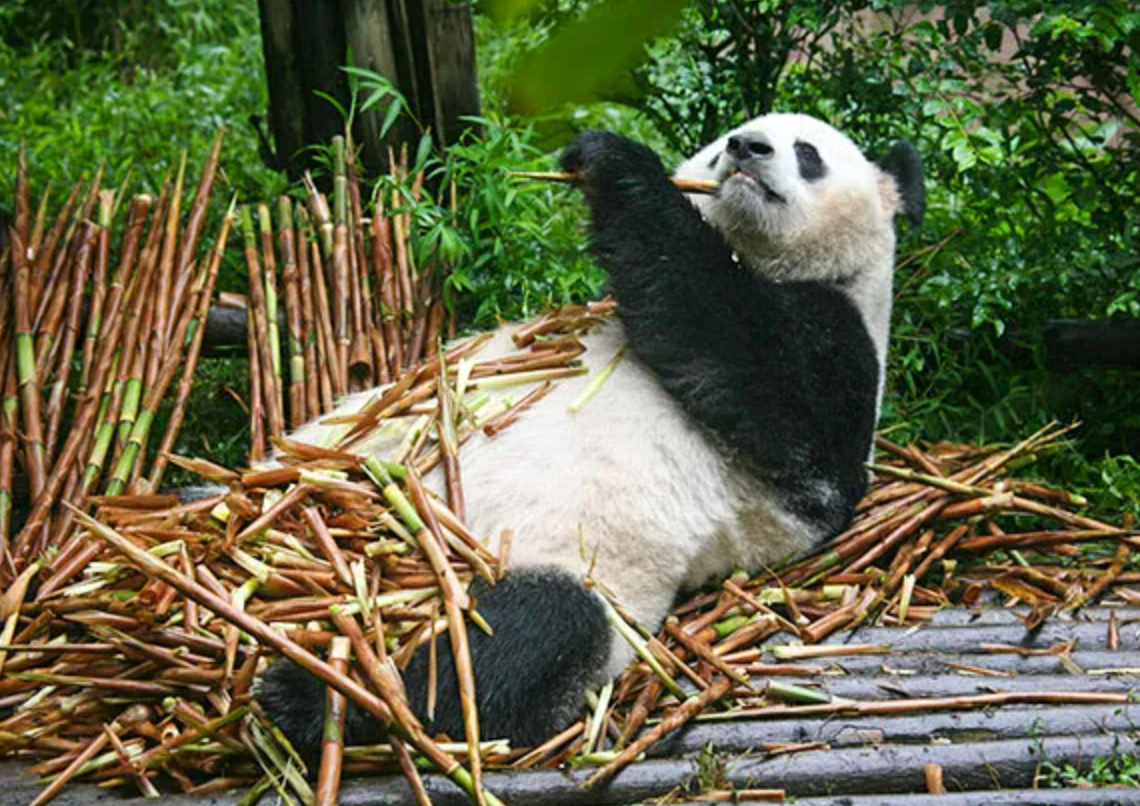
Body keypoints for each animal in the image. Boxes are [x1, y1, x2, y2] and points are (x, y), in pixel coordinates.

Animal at [257, 113, 925, 753]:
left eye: (808, 152)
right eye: (720, 145)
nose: (747, 148)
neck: (765, 259)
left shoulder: (837, 359)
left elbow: (740, 350)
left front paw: (615, 162)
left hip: (565, 570)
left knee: (521, 638)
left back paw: (316, 696)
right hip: (331, 455)